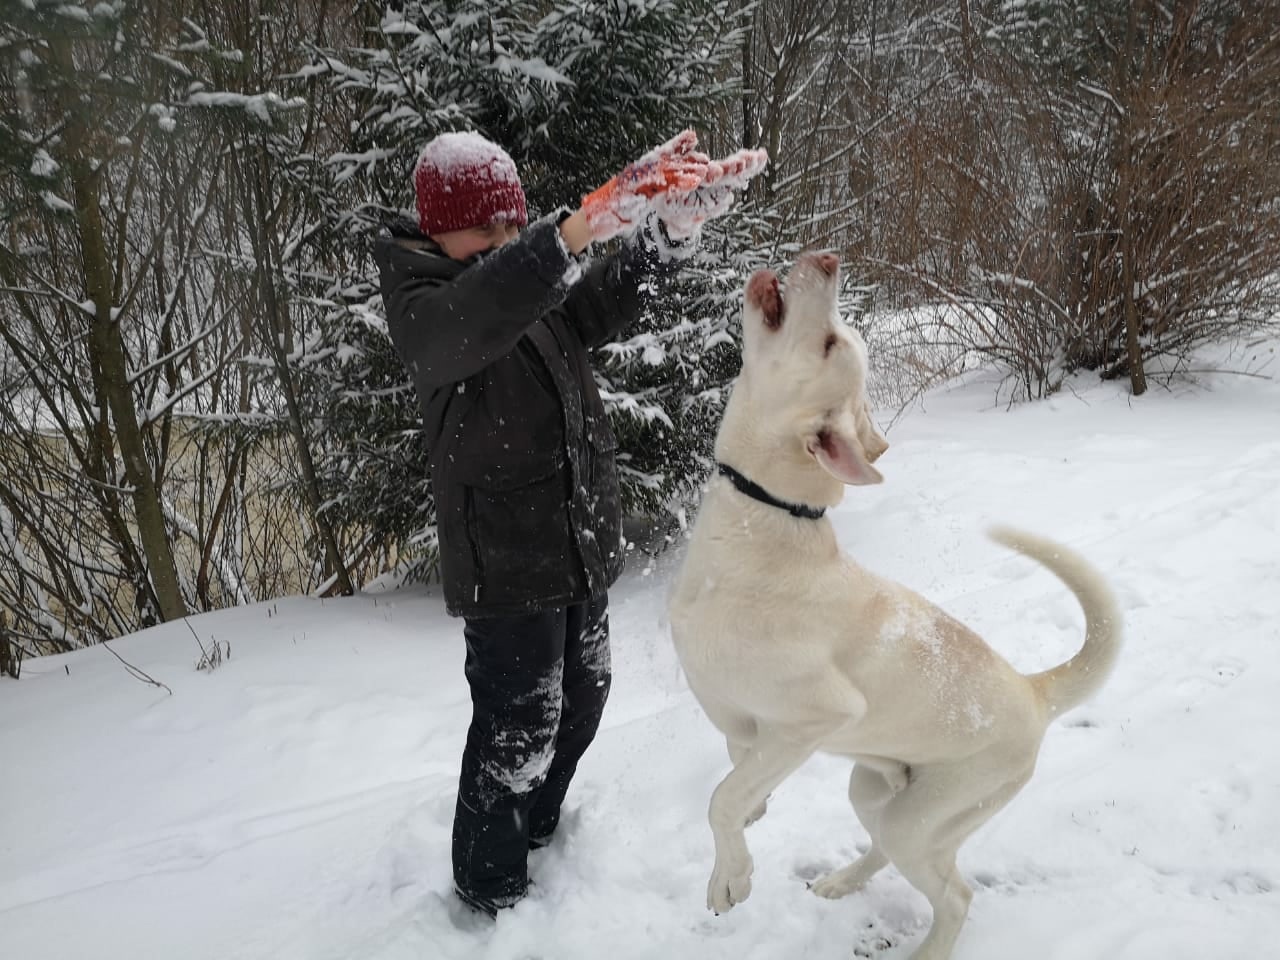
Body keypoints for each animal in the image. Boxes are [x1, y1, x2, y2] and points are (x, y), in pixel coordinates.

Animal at [670, 252, 1121, 957]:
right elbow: (738, 792)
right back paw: (841, 882)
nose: (828, 259)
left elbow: (721, 801)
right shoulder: (738, 724)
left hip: (926, 813)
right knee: (886, 847)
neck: (767, 513)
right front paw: (736, 857)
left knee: (954, 894)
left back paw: (927, 948)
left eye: (831, 342)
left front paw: (733, 880)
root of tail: (1034, 690)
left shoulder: (809, 720)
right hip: (874, 788)